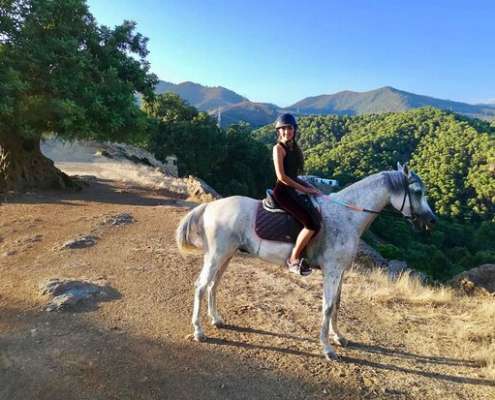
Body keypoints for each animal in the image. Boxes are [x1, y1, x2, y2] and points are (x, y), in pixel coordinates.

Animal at [176, 162, 436, 360]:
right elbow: (328, 307)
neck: (347, 216)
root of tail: (210, 205)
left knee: (214, 285)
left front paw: (338, 337)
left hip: (227, 255)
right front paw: (328, 349)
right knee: (201, 286)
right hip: (217, 255)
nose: (431, 221)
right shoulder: (332, 270)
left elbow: (337, 304)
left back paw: (217, 320)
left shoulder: (340, 271)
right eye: (417, 192)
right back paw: (198, 331)